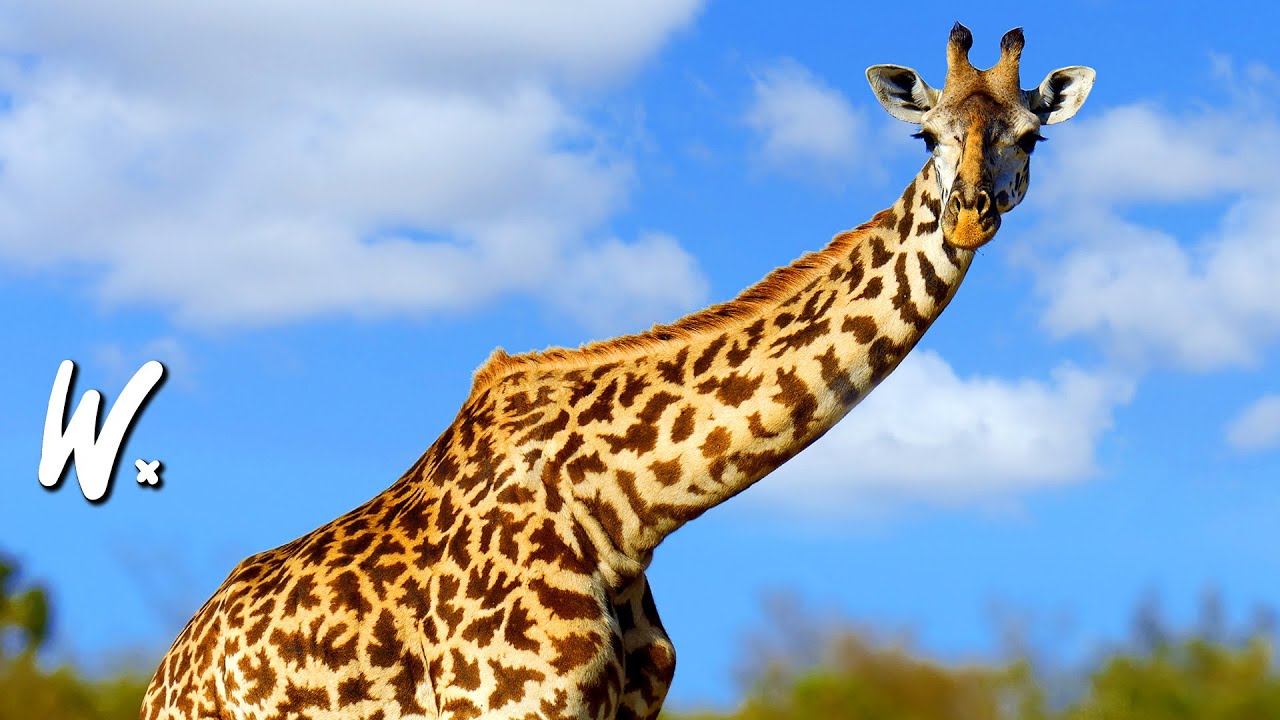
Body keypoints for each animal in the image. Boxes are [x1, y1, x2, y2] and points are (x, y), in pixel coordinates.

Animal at [142, 24, 1093, 720]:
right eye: (925, 134)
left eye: (1033, 136)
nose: (969, 213)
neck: (626, 512)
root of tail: (166, 671)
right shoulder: (506, 708)